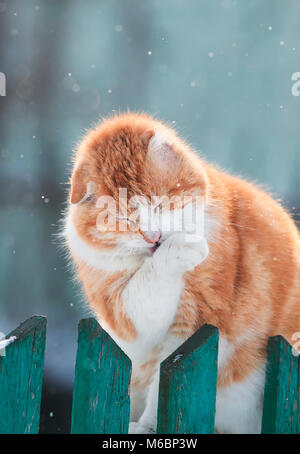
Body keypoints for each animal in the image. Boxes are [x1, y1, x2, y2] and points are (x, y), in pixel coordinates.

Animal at [65, 111, 300, 434]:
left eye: (159, 203)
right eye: (123, 219)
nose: (153, 237)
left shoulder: (198, 324)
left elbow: (163, 384)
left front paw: (149, 426)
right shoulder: (124, 317)